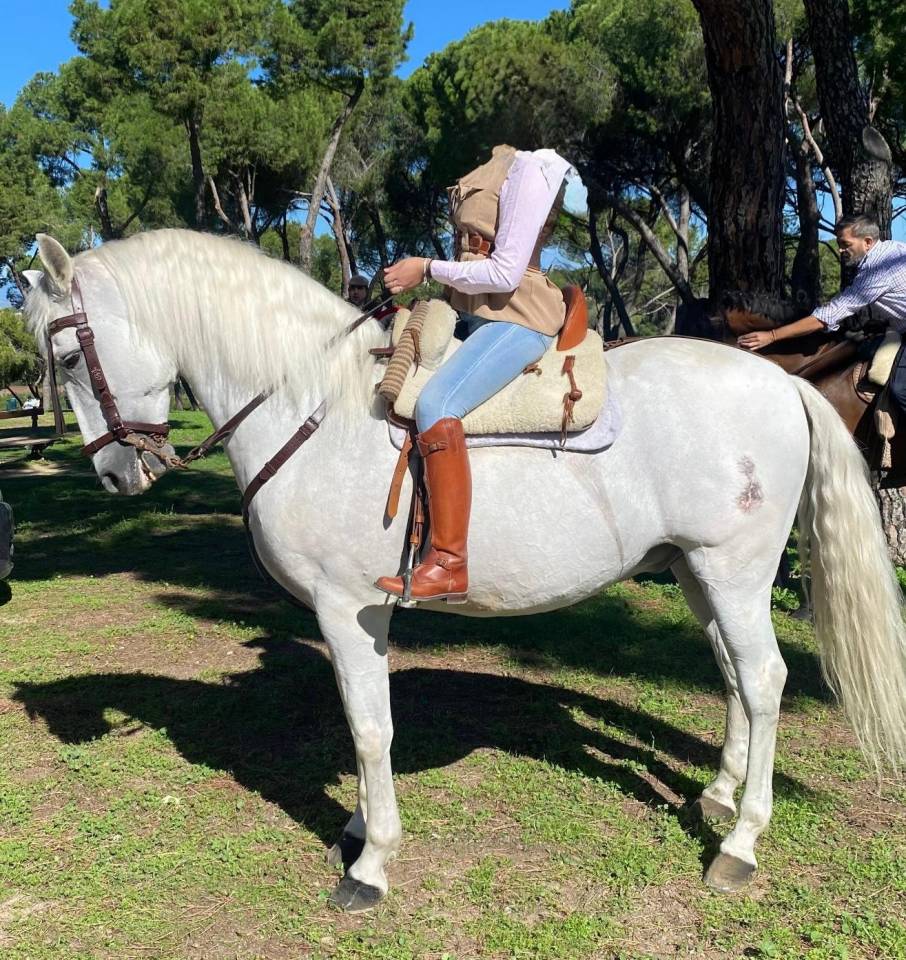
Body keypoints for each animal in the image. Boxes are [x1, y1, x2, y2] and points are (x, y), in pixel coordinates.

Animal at [24, 230, 906, 911]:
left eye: (66, 353)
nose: (115, 476)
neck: (313, 406)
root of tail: (782, 382)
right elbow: (361, 724)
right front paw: (356, 829)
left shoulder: (347, 609)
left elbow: (370, 728)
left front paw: (371, 862)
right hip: (698, 573)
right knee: (731, 674)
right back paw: (719, 795)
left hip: (735, 571)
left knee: (763, 680)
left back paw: (741, 842)